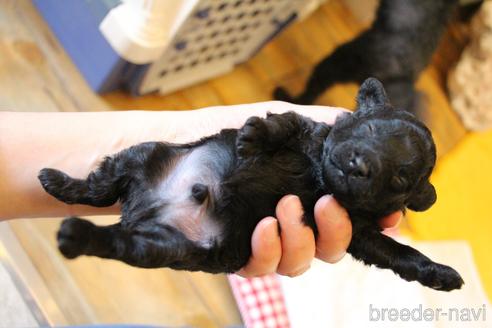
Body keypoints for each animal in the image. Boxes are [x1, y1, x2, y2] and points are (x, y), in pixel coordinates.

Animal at [39, 78, 466, 290]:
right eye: (371, 128)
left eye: (399, 178)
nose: (360, 165)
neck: (320, 174)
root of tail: (140, 210)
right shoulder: (308, 128)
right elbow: (283, 123)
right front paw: (251, 138)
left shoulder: (358, 233)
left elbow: (399, 252)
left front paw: (442, 274)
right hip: (145, 154)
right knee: (97, 188)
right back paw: (54, 180)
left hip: (162, 246)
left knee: (114, 237)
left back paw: (75, 234)